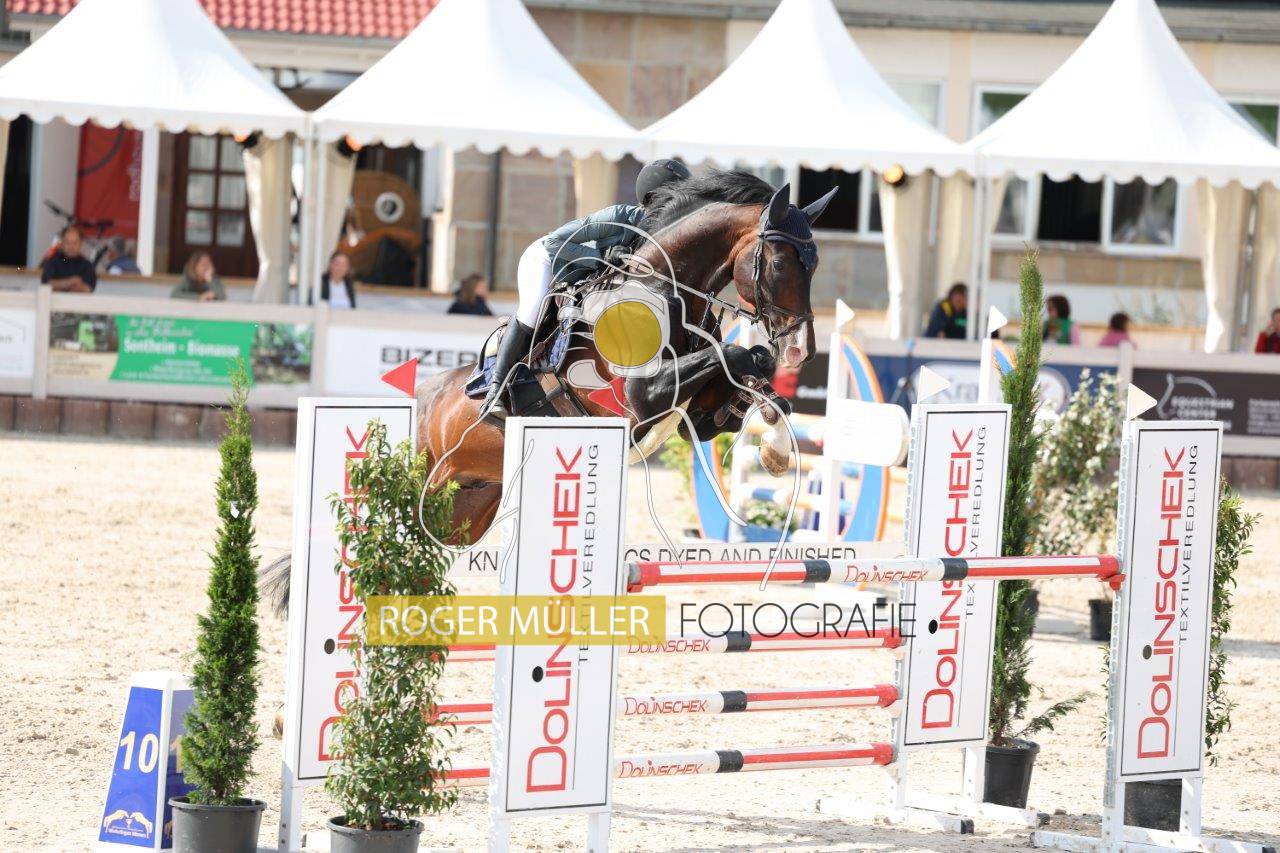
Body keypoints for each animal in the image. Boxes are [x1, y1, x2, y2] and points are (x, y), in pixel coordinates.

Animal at [417, 170, 836, 543]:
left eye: (816, 265)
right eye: (780, 264)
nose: (801, 348)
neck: (660, 290)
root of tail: (424, 393)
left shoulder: (697, 418)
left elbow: (751, 365)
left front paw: (774, 437)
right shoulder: (638, 395)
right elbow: (733, 352)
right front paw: (776, 443)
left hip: (470, 504)